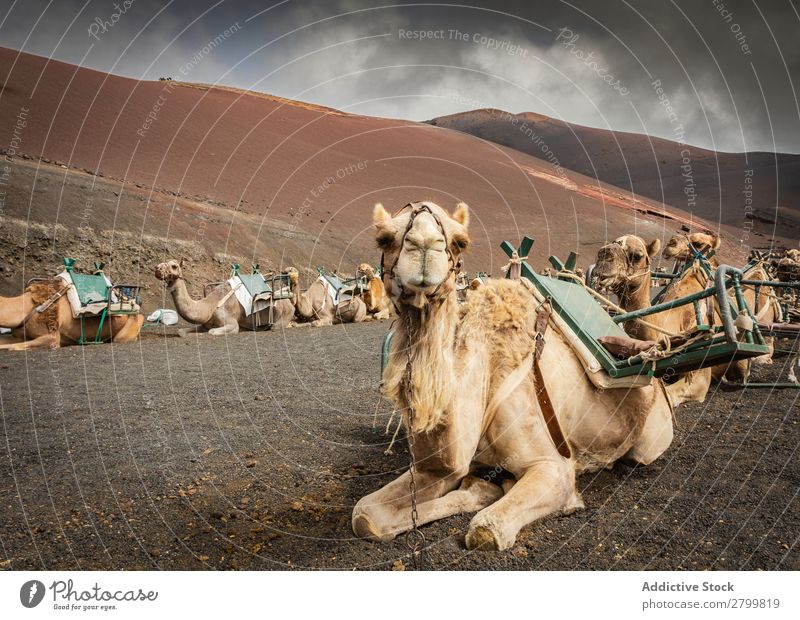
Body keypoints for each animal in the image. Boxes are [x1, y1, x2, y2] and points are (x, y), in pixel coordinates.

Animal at [155, 258, 296, 336]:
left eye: (174, 266)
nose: (157, 268)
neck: (210, 305)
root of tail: (290, 302)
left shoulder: (230, 321)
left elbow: (213, 332)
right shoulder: (205, 323)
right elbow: (181, 332)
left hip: (285, 315)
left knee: (275, 327)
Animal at [352, 201, 676, 548]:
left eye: (460, 241)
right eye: (384, 238)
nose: (425, 244)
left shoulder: (554, 468)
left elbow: (486, 529)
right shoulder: (443, 467)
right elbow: (365, 515)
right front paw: (480, 488)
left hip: (650, 440)